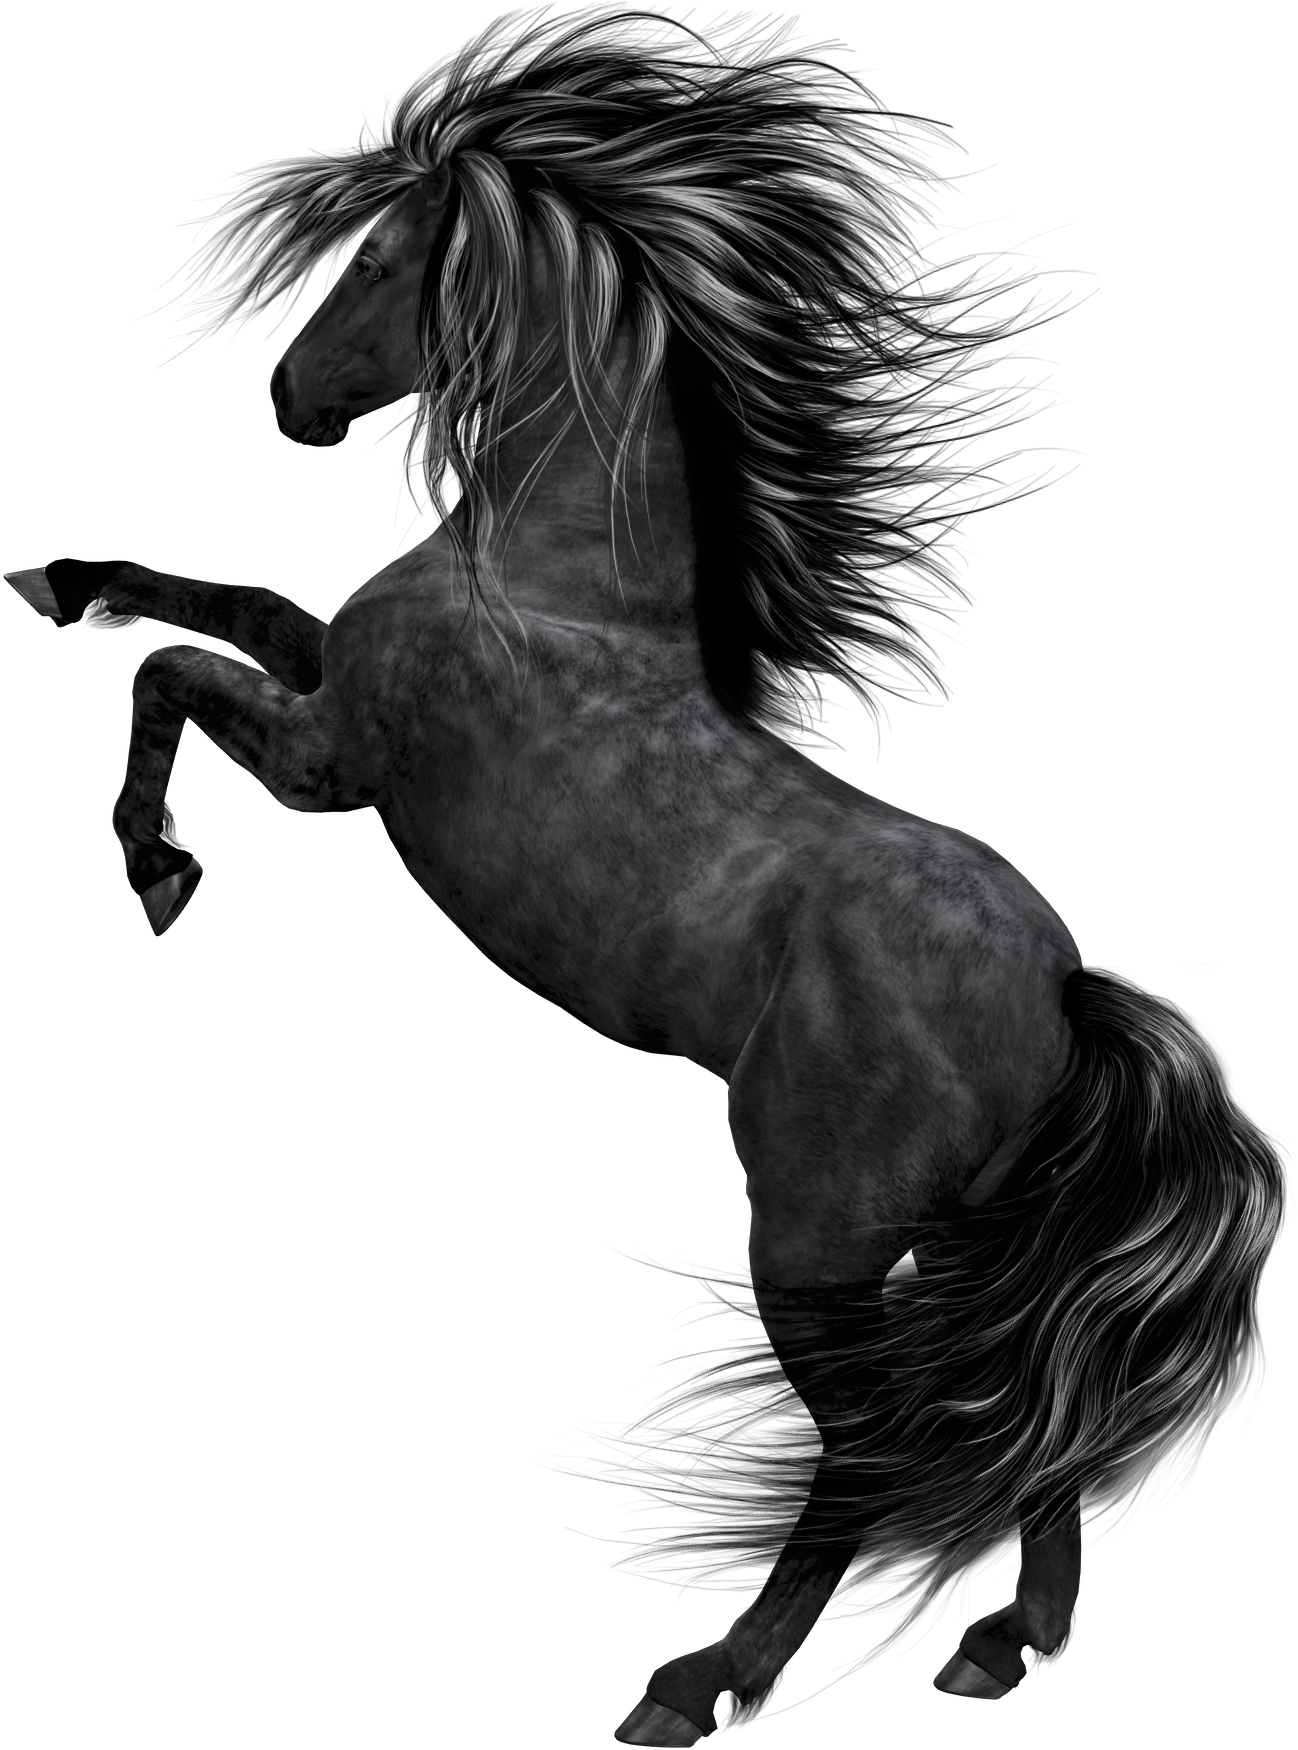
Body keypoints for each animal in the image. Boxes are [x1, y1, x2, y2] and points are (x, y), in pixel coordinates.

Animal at [6, 55, 1279, 1743]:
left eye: (371, 262)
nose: (283, 393)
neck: (550, 584)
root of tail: (1058, 989)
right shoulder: (323, 674)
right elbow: (210, 597)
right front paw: (47, 578)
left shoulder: (328, 763)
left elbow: (169, 674)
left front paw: (156, 871)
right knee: (1030, 1424)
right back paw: (1002, 1643)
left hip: (817, 1245)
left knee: (872, 1456)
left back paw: (697, 1680)